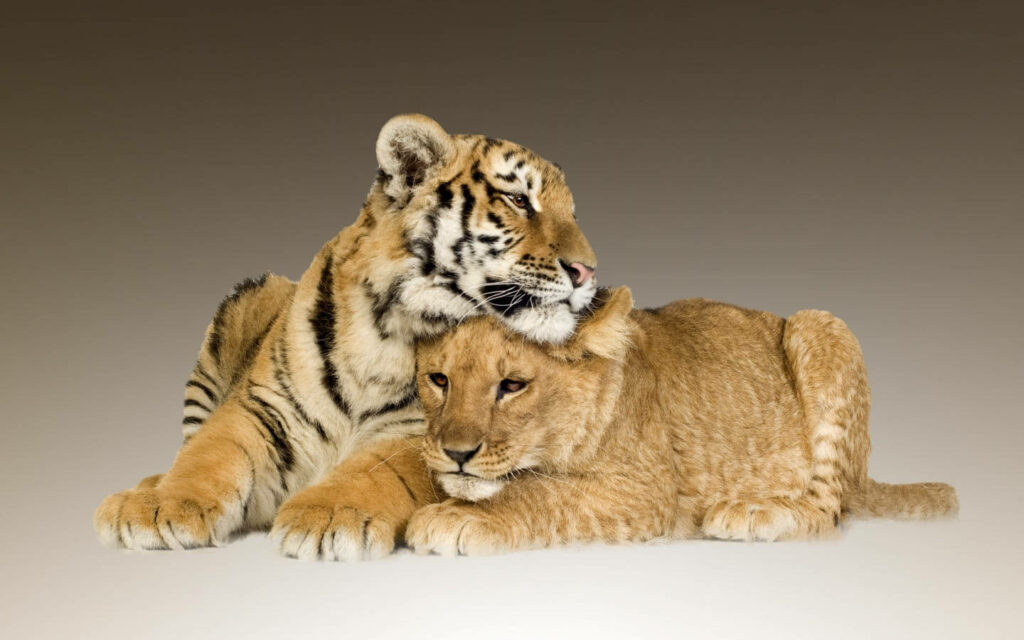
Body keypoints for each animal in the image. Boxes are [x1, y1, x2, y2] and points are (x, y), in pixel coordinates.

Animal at [93, 114, 598, 560]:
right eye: (518, 200)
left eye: (573, 213)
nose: (587, 271)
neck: (387, 327)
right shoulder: (261, 406)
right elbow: (211, 451)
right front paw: (158, 508)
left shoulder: (421, 430)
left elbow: (375, 467)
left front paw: (327, 516)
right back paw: (142, 488)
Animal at [400, 286, 958, 555]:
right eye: (439, 379)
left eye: (512, 385)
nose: (456, 454)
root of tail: (863, 473)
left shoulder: (647, 492)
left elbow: (539, 491)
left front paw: (459, 516)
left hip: (819, 324)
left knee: (828, 510)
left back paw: (752, 511)